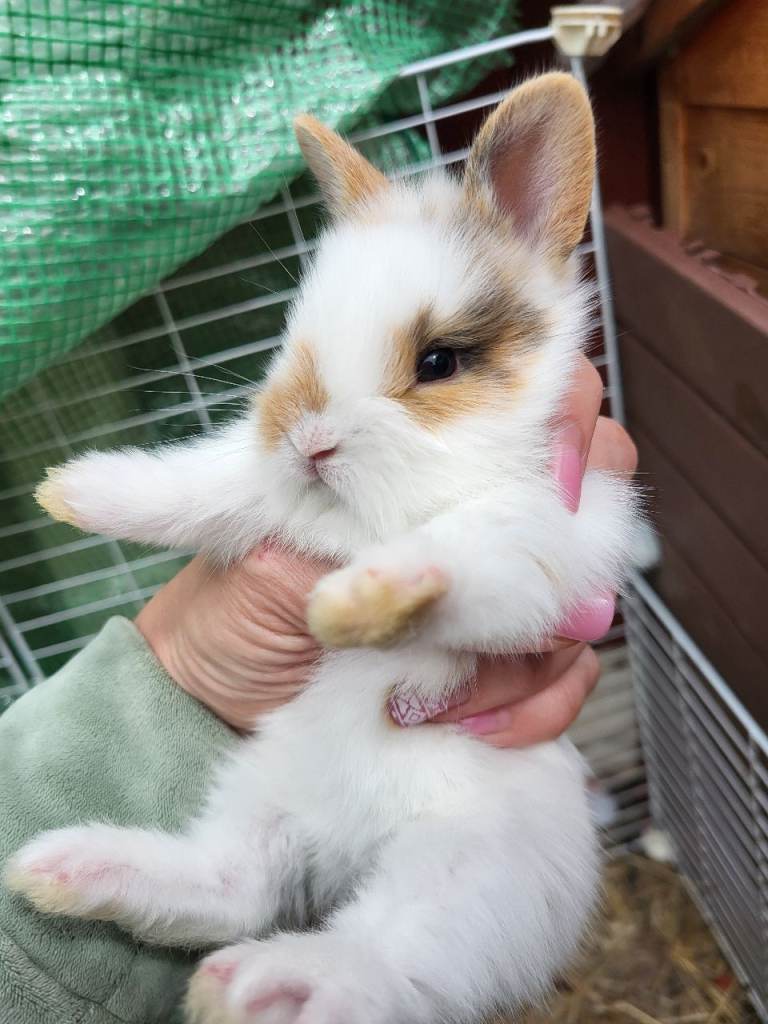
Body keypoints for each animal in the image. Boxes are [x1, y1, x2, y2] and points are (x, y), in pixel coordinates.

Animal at [6, 73, 642, 1024]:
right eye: (297, 332)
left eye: (440, 361)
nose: (307, 439)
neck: (367, 509)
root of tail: (340, 843)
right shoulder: (255, 488)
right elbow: (201, 486)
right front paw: (75, 491)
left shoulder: (544, 537)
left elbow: (461, 556)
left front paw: (357, 601)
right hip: (259, 786)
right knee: (231, 886)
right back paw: (66, 869)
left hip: (465, 874)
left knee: (378, 960)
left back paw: (261, 984)